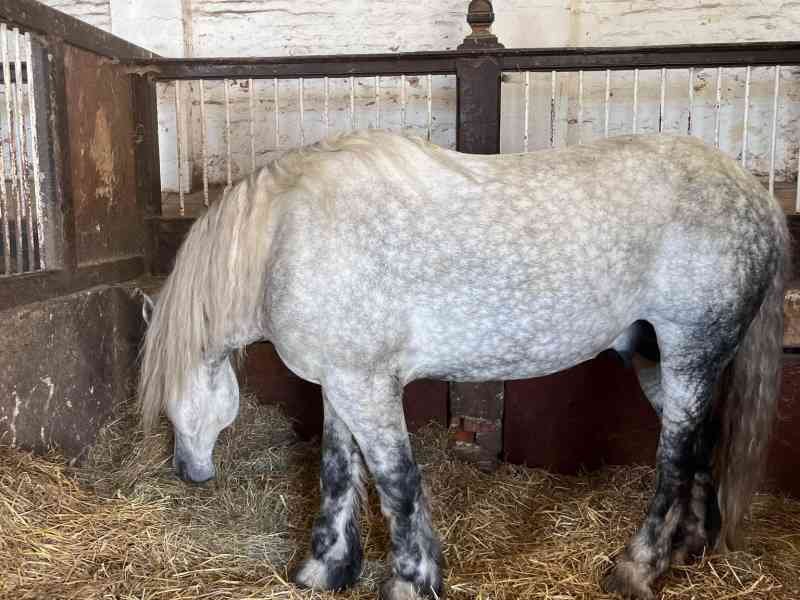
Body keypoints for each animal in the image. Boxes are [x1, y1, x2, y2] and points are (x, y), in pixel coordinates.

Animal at [139, 130, 788, 600]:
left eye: (170, 404)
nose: (185, 472)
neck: (283, 241)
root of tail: (755, 194)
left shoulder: (365, 386)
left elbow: (397, 481)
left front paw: (410, 580)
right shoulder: (343, 383)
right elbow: (338, 472)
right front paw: (325, 569)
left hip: (689, 352)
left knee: (674, 462)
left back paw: (637, 569)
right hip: (660, 360)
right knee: (700, 443)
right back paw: (688, 550)